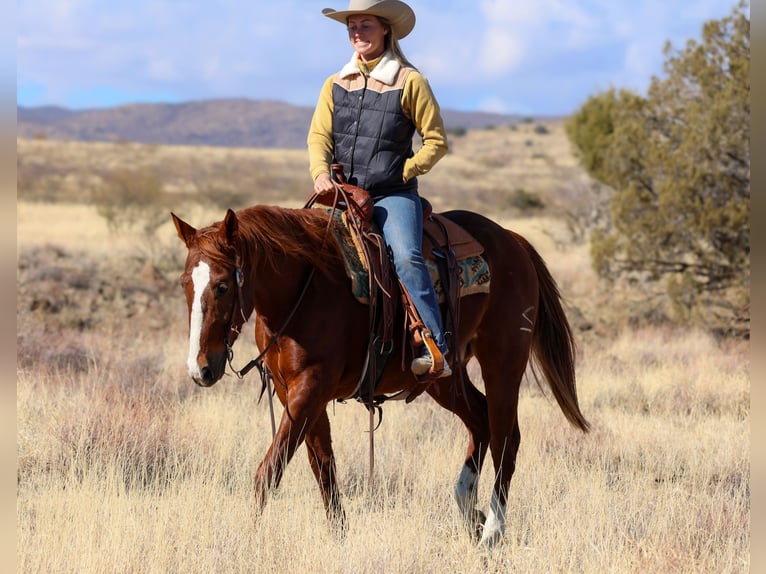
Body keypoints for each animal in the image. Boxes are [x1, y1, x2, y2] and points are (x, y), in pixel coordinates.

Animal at [174, 204, 592, 548]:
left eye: (223, 285)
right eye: (185, 284)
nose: (200, 369)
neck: (303, 289)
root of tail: (513, 240)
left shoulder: (311, 388)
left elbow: (270, 471)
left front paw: (247, 538)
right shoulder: (294, 393)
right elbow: (324, 470)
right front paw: (339, 538)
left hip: (503, 362)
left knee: (507, 436)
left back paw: (492, 529)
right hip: (445, 378)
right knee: (480, 421)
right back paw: (466, 506)